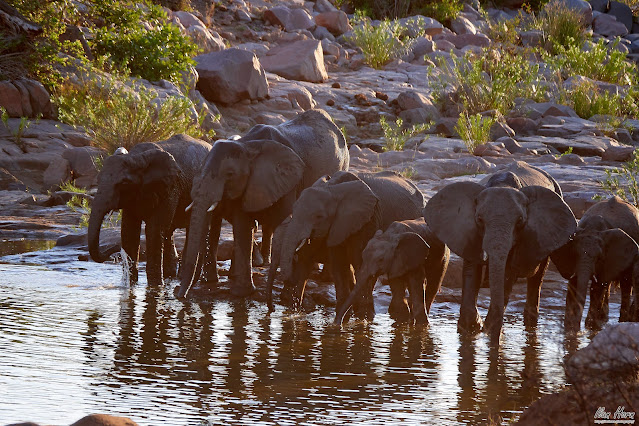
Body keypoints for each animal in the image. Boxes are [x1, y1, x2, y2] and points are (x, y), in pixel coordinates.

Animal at [175, 109, 350, 300]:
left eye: (229, 174)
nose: (178, 294)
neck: (248, 147)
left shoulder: (287, 180)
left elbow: (287, 224)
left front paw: (286, 296)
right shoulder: (249, 185)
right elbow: (242, 227)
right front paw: (241, 293)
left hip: (343, 165)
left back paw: (326, 278)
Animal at [278, 171, 424, 316]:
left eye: (319, 217)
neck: (332, 189)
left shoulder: (368, 219)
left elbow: (360, 262)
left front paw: (364, 315)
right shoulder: (337, 225)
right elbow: (339, 264)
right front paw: (345, 314)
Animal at [552, 195, 639, 332]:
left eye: (598, 258)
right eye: (575, 253)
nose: (577, 329)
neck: (592, 229)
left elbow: (596, 288)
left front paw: (589, 327)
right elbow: (574, 283)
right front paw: (570, 329)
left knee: (625, 283)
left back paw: (620, 321)